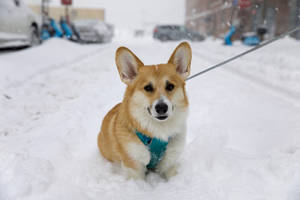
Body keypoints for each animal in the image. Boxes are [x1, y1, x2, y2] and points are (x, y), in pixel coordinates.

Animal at [98, 42, 192, 180]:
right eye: (148, 88)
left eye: (170, 86)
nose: (161, 107)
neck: (158, 130)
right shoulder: (134, 167)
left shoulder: (169, 164)